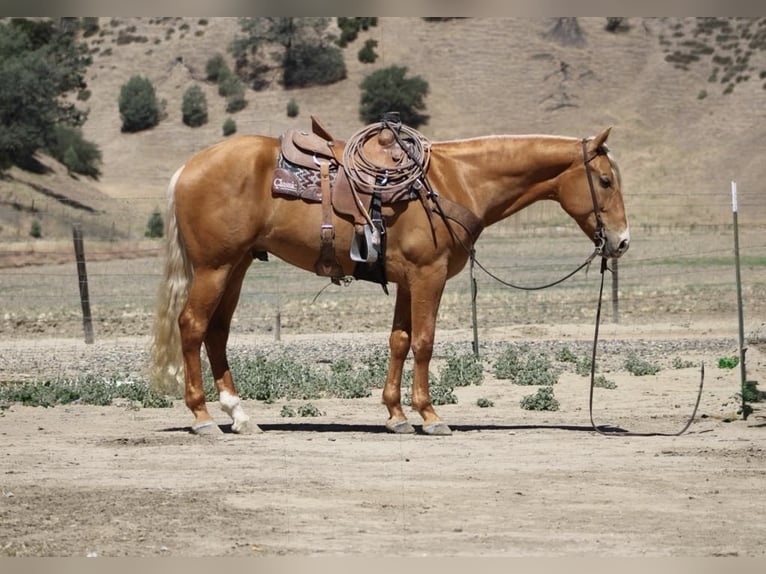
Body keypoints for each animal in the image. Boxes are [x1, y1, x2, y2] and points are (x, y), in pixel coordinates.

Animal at [149, 123, 630, 436]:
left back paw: (240, 416)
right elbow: (424, 342)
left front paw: (396, 415)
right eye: (605, 180)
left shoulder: (405, 280)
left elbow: (399, 340)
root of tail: (188, 168)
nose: (621, 242)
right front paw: (430, 416)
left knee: (217, 333)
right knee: (192, 326)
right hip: (215, 267)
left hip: (237, 266)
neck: (456, 181)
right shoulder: (429, 275)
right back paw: (203, 418)